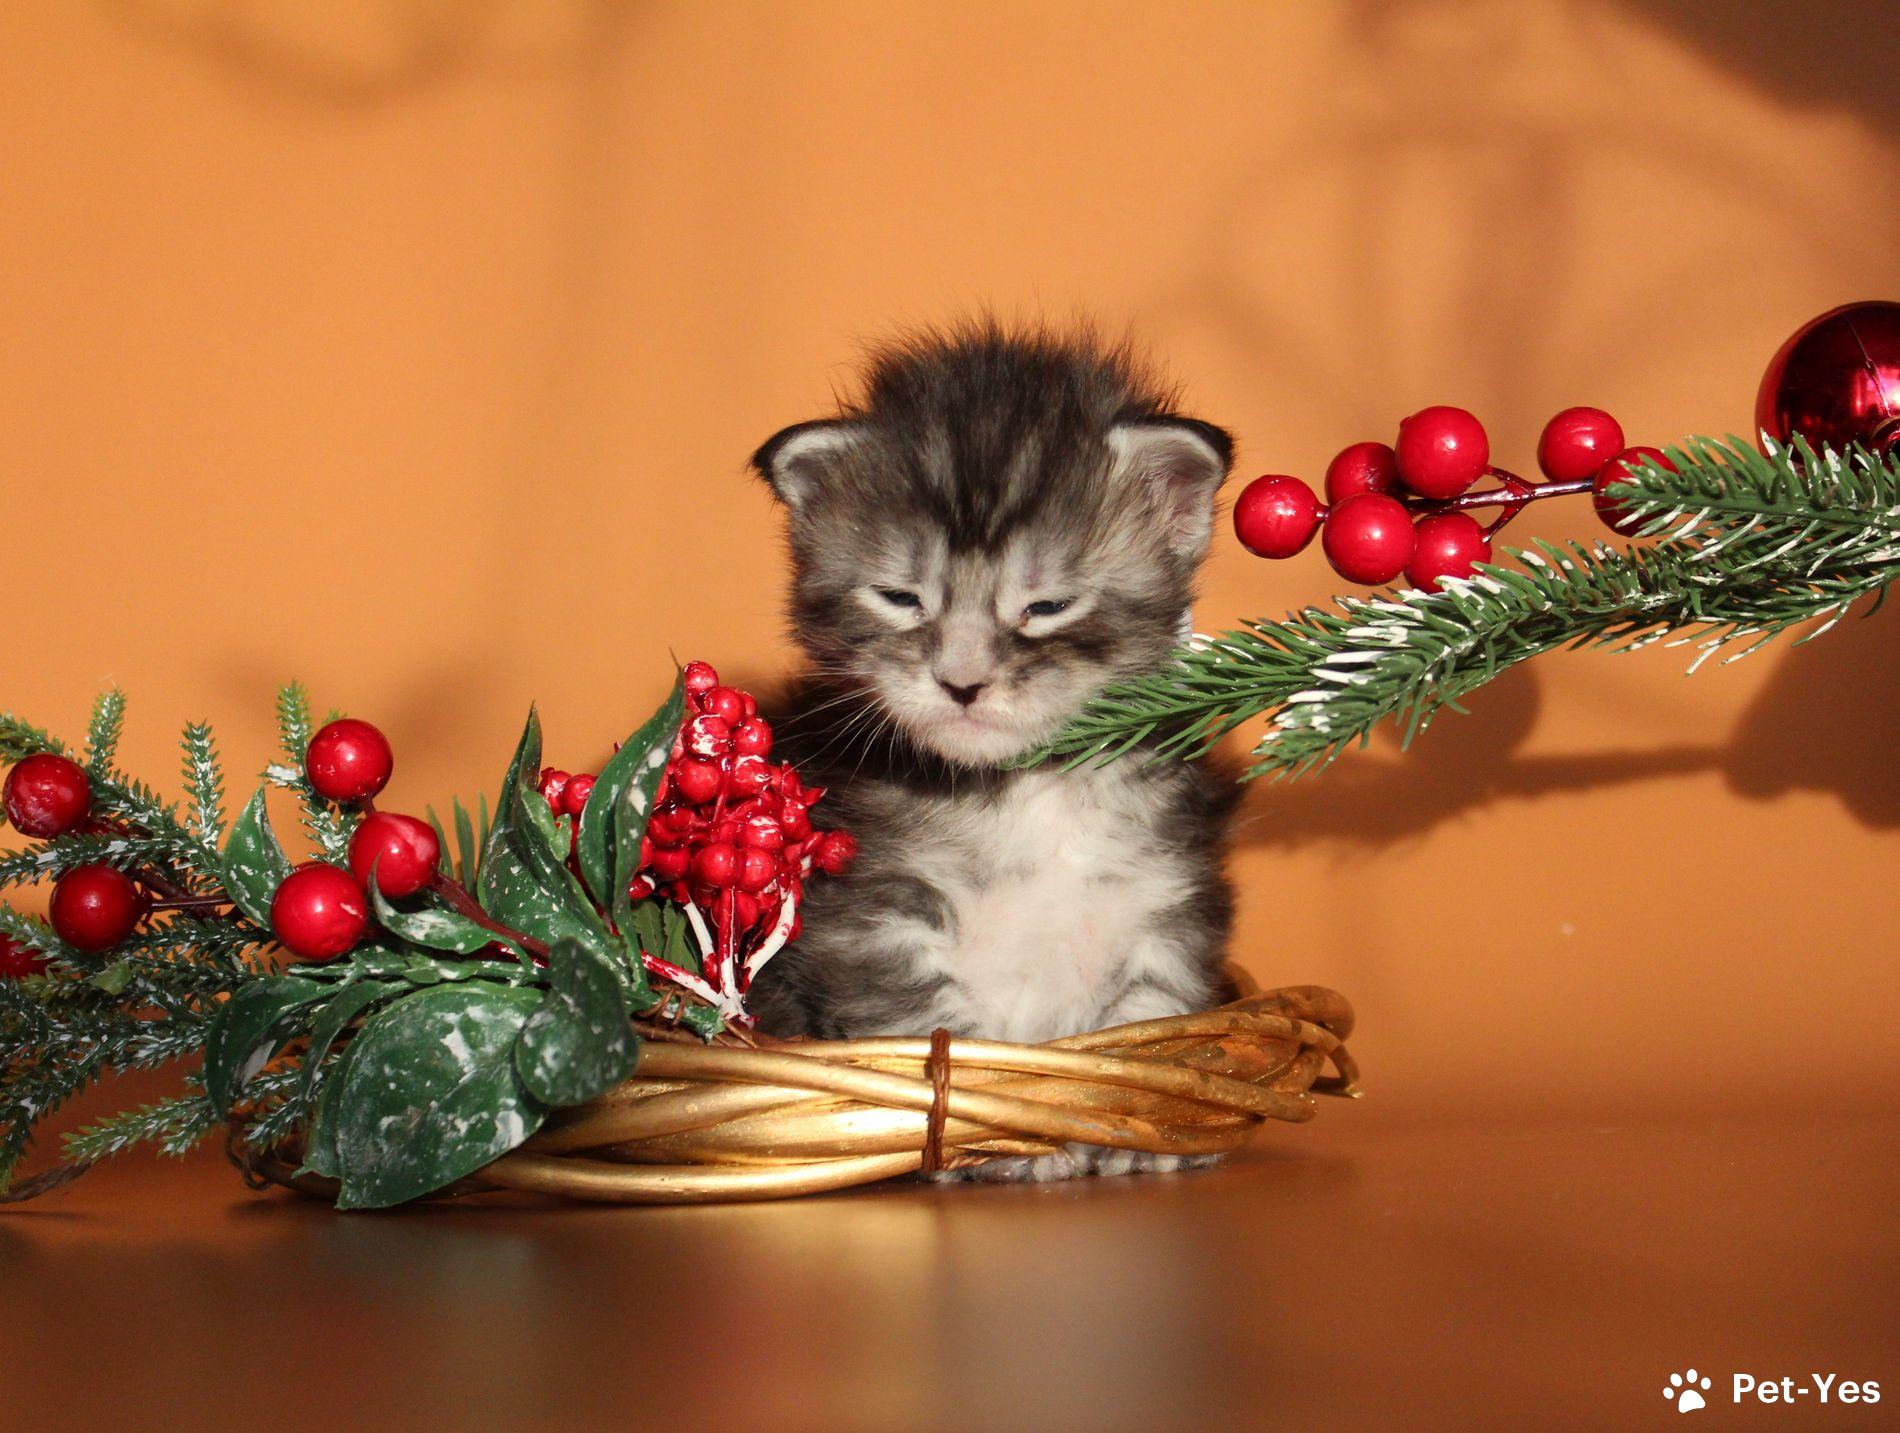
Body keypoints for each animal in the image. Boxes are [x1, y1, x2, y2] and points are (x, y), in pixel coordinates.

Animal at [745, 324, 1239, 1179]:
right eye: (901, 597)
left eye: (1047, 605)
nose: (962, 681)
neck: (1024, 785)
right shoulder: (867, 915)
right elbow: (927, 1021)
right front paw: (994, 1144)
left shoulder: (1169, 894)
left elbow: (1153, 1010)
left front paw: (1146, 1119)